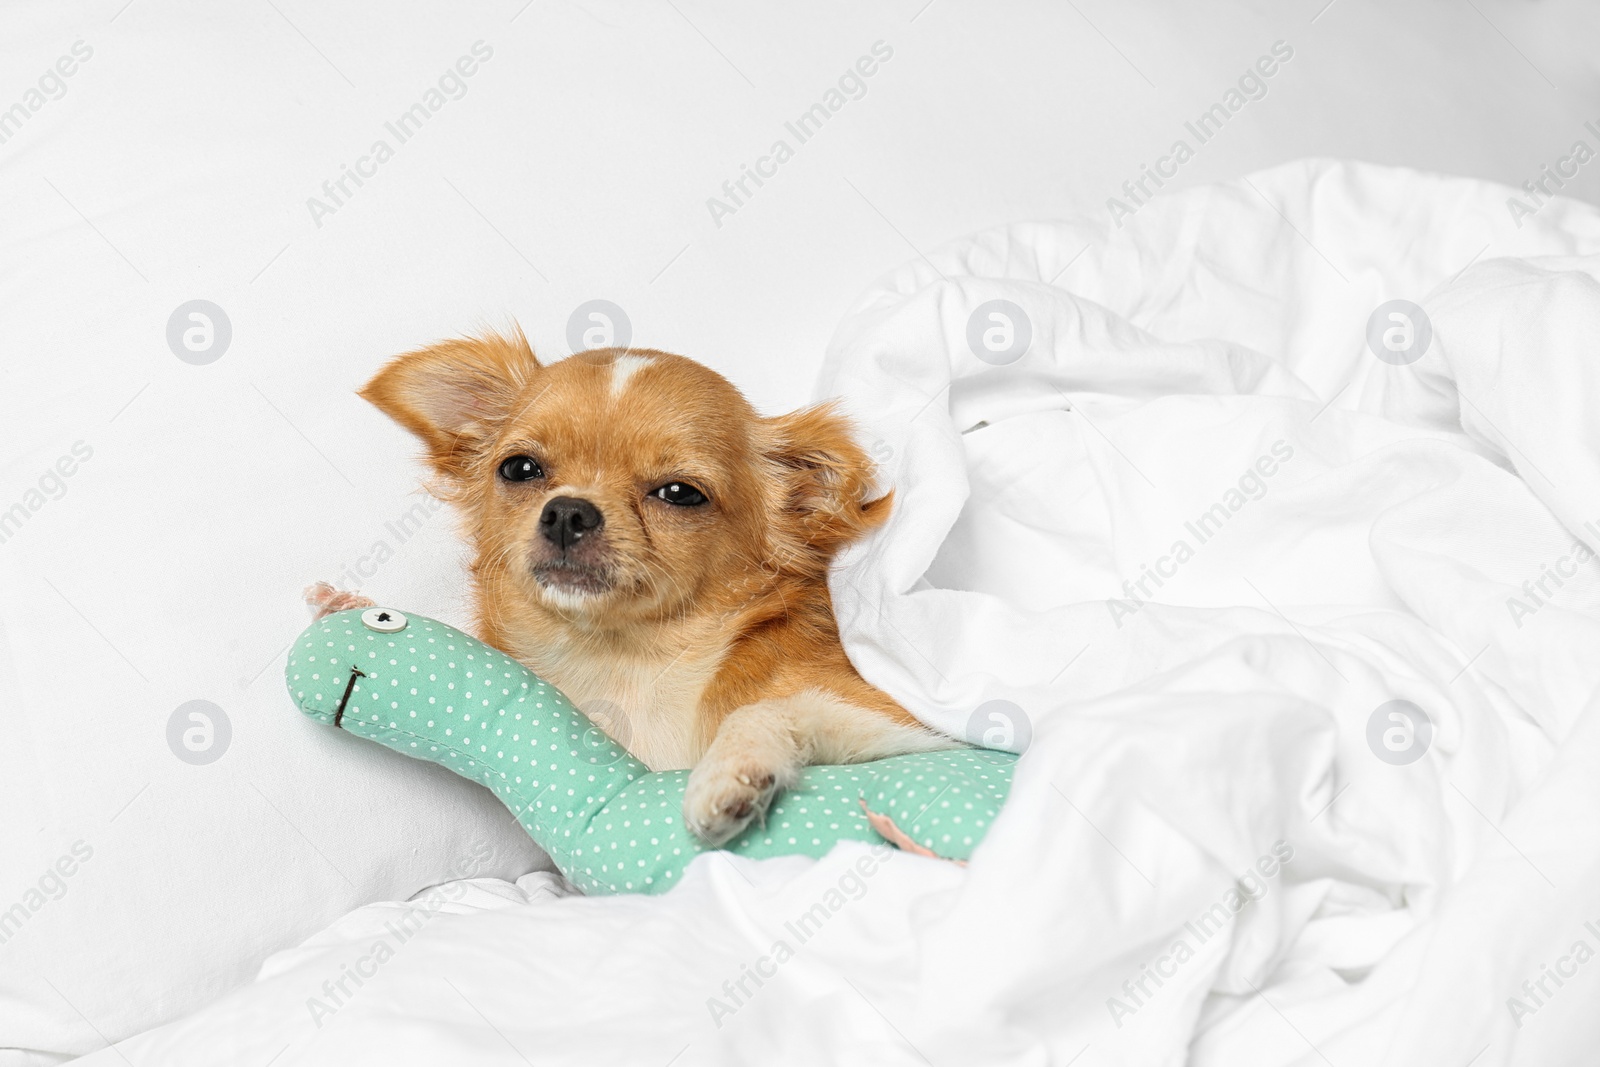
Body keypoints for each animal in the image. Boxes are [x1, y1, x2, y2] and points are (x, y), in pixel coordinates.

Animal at [363, 329, 947, 844]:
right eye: (519, 468)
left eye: (679, 493)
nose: (567, 512)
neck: (628, 664)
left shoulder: (917, 733)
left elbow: (767, 707)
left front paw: (729, 771)